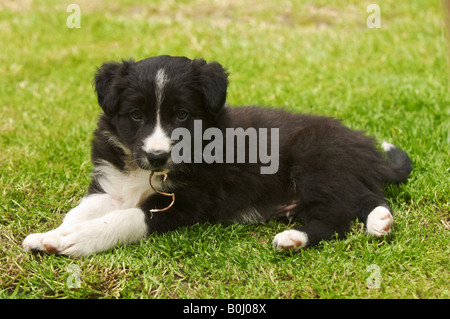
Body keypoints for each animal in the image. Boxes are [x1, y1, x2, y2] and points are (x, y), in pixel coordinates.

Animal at [23, 56, 412, 258]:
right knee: (350, 207)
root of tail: (364, 147)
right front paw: (51, 235)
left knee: (349, 207)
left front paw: (77, 240)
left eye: (182, 114)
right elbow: (80, 212)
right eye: (135, 115)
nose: (158, 156)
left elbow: (127, 218)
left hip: (316, 159)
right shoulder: (111, 187)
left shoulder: (187, 202)